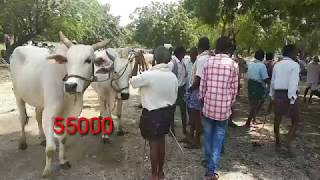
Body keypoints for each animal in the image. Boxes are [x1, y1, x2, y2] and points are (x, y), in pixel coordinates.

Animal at [9, 32, 109, 177]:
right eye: (67, 60)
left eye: (88, 60)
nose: (71, 86)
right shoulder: (50, 113)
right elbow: (51, 148)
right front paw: (47, 171)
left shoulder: (70, 113)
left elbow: (63, 139)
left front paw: (63, 161)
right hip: (18, 95)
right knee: (22, 118)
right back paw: (22, 142)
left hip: (40, 101)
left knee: (37, 115)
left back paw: (42, 137)